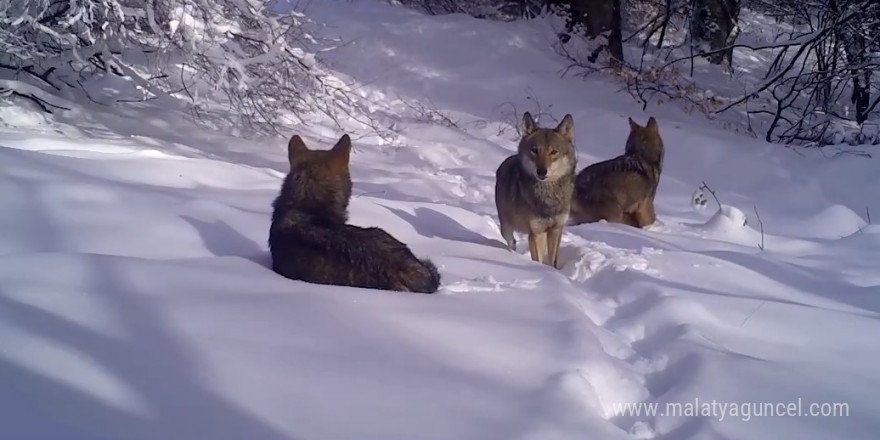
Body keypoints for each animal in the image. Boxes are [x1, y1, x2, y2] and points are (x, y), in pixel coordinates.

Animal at [496, 111, 576, 268]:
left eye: (553, 152)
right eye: (535, 150)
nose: (542, 171)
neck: (548, 197)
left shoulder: (555, 230)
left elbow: (551, 261)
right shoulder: (535, 232)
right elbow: (537, 259)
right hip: (506, 227)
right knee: (511, 241)